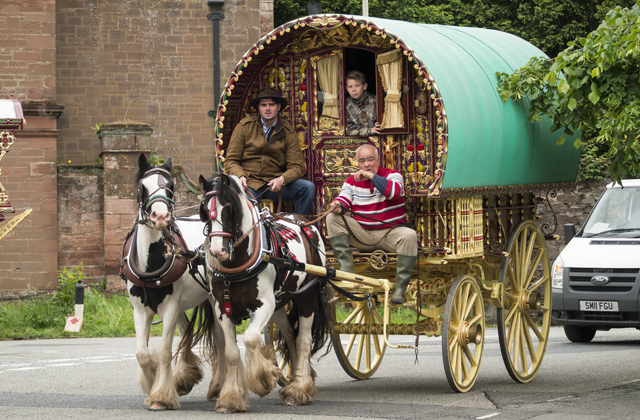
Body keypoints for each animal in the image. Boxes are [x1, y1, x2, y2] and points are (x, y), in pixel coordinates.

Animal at [124, 154, 214, 410]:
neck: (150, 266)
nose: (161, 217)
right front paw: (152, 380)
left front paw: (161, 396)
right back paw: (185, 376)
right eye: (143, 187)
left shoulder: (170, 307)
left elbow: (165, 351)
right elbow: (142, 353)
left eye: (171, 186)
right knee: (186, 334)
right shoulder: (140, 310)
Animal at [195, 172, 332, 412]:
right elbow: (231, 352)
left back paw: (300, 389)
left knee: (303, 339)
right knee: (291, 335)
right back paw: (295, 383)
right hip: (279, 306)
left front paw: (263, 378)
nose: (218, 251)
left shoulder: (263, 306)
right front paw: (231, 398)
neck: (237, 264)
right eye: (204, 209)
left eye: (229, 207)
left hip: (306, 297)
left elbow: (251, 338)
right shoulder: (222, 308)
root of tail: (305, 222)